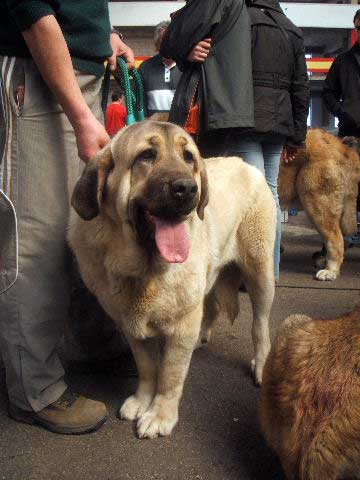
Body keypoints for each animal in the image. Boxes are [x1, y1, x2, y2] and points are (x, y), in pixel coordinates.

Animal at [67, 121, 276, 438]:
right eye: (147, 155)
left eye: (188, 157)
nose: (187, 189)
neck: (142, 269)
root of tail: (246, 165)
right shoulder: (131, 326)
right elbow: (147, 367)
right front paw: (142, 400)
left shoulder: (180, 327)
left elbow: (170, 375)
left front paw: (160, 415)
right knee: (212, 308)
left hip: (260, 274)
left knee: (260, 326)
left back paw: (261, 366)